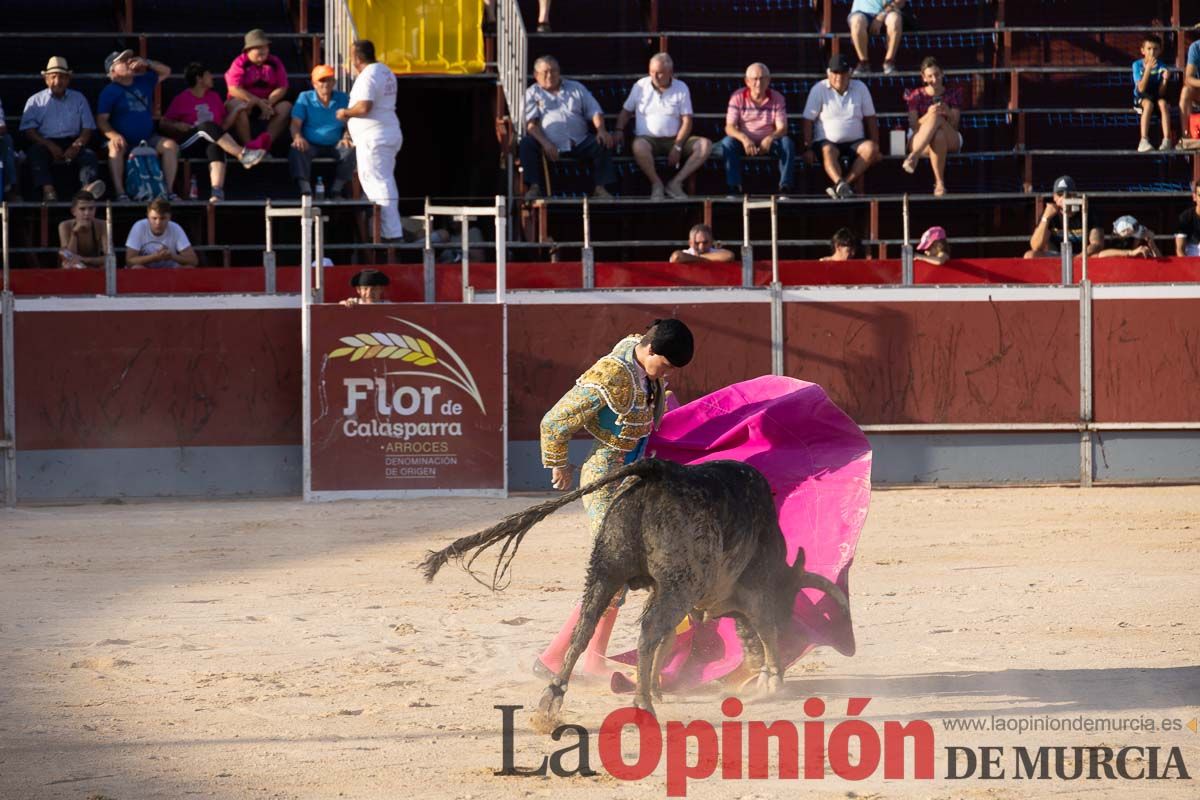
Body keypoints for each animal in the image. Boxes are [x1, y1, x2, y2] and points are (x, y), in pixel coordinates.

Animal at [422, 455, 854, 719]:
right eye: (788, 601)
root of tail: (656, 470)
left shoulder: (676, 593)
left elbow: (670, 636)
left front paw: (661, 684)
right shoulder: (752, 592)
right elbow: (765, 629)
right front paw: (773, 681)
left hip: (605, 570)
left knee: (587, 628)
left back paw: (553, 697)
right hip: (672, 582)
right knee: (646, 632)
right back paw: (643, 703)